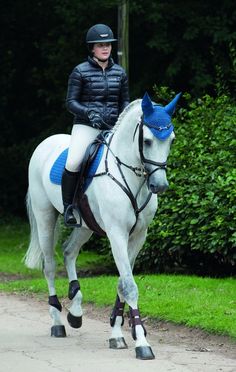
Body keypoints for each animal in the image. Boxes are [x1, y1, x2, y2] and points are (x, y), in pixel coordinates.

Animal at [24, 91, 181, 358]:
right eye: (147, 141)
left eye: (170, 140)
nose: (159, 185)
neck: (132, 177)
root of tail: (45, 143)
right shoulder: (117, 233)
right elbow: (129, 285)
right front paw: (141, 343)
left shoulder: (138, 236)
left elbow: (122, 282)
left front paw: (118, 333)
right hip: (45, 216)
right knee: (50, 266)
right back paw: (57, 322)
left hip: (84, 226)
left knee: (68, 252)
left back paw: (76, 311)